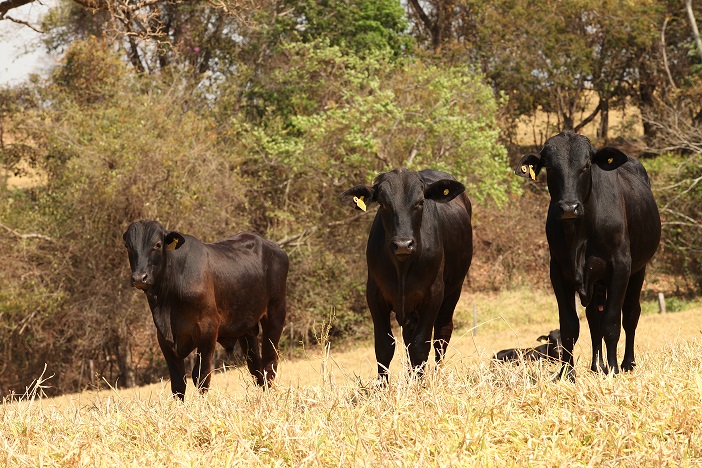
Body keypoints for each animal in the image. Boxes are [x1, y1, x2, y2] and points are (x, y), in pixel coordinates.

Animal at [124, 220, 288, 398]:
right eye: (128, 246)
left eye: (158, 244)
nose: (139, 278)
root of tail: (273, 247)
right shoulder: (164, 338)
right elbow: (178, 382)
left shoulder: (207, 329)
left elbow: (201, 375)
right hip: (247, 328)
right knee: (255, 367)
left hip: (275, 313)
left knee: (270, 361)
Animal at [340, 168, 472, 380]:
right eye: (383, 203)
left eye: (420, 202)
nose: (403, 244)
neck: (402, 267)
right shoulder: (374, 295)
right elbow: (384, 347)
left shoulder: (433, 295)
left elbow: (420, 346)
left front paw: (420, 385)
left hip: (454, 290)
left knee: (442, 334)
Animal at [516, 130, 664, 378]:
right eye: (550, 167)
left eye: (586, 166)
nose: (568, 208)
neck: (579, 234)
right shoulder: (558, 271)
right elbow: (570, 326)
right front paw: (567, 374)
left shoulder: (620, 266)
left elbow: (612, 322)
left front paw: (613, 369)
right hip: (596, 282)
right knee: (594, 319)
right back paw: (597, 366)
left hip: (638, 270)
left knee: (630, 314)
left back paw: (626, 363)